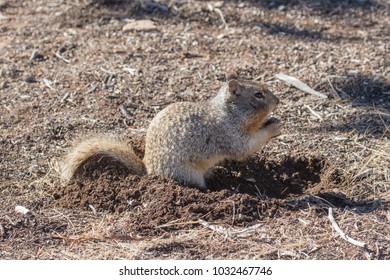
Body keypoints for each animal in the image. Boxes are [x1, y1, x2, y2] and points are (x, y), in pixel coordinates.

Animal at [60, 72, 280, 190]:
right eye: (258, 95)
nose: (277, 101)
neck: (227, 112)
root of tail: (148, 170)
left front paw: (272, 120)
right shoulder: (228, 133)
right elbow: (245, 147)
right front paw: (274, 127)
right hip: (187, 174)